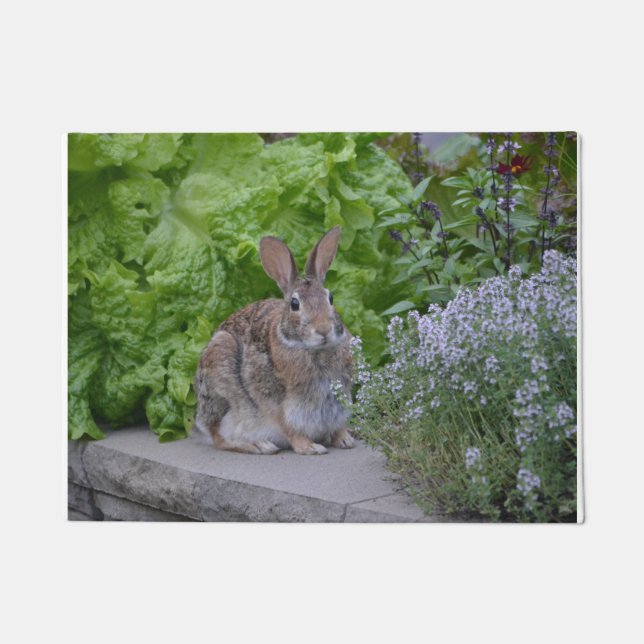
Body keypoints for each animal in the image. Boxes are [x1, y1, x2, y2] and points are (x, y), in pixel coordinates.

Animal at [193, 226, 355, 455]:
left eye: (330, 298)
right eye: (295, 304)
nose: (323, 329)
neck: (313, 349)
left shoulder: (339, 402)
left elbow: (337, 425)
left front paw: (344, 439)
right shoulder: (279, 405)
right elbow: (289, 428)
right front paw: (310, 447)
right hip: (221, 373)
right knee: (218, 436)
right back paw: (259, 445)